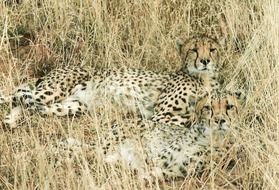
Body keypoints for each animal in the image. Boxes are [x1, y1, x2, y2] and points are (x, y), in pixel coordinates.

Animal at [0, 35, 223, 127]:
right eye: (194, 49)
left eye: (212, 49)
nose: (205, 61)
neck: (203, 79)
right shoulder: (161, 114)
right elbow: (187, 119)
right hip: (53, 90)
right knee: (17, 94)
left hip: (73, 106)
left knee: (31, 104)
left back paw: (11, 120)